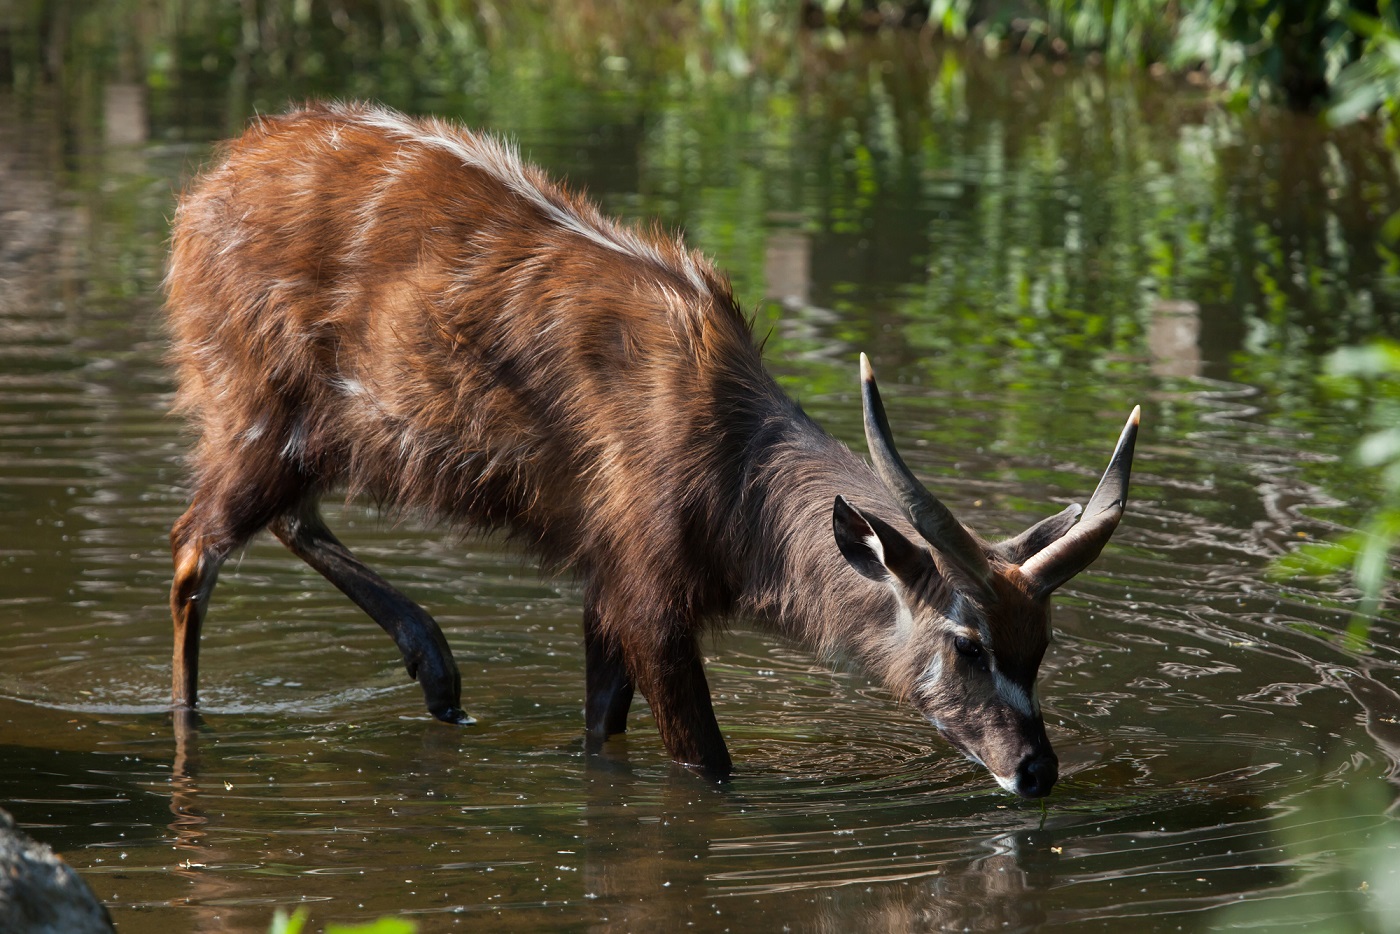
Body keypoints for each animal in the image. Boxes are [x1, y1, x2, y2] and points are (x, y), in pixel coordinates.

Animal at [164, 102, 1138, 798]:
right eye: (968, 642)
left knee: (285, 518)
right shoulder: (647, 598)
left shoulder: (604, 587)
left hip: (306, 439)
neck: (731, 474)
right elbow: (706, 763)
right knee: (193, 552)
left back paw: (439, 674)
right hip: (252, 409)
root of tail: (202, 191)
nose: (1037, 769)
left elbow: (601, 730)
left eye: (1041, 646)